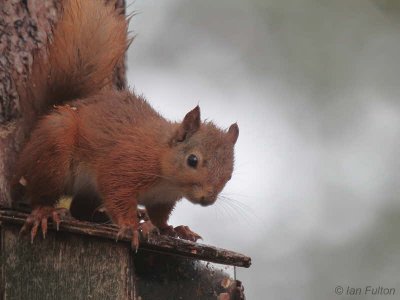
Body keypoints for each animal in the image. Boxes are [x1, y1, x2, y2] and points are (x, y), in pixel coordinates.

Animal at [14, 0, 239, 251]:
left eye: (229, 175)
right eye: (192, 160)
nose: (207, 199)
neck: (166, 175)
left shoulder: (162, 199)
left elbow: (160, 216)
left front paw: (171, 229)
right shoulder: (124, 165)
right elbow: (117, 193)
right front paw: (131, 226)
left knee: (80, 209)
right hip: (52, 156)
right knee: (40, 193)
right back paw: (45, 211)